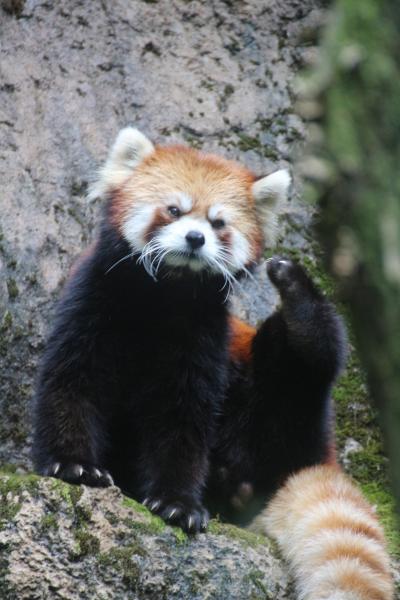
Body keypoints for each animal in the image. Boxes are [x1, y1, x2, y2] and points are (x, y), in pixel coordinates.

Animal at [32, 127, 394, 600]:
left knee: (308, 358)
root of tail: (317, 455)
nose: (195, 238)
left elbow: (183, 421)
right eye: (174, 210)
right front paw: (73, 465)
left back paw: (298, 299)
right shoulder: (90, 304)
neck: (164, 296)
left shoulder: (205, 342)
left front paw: (178, 504)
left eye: (218, 223)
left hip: (272, 389)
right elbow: (71, 383)